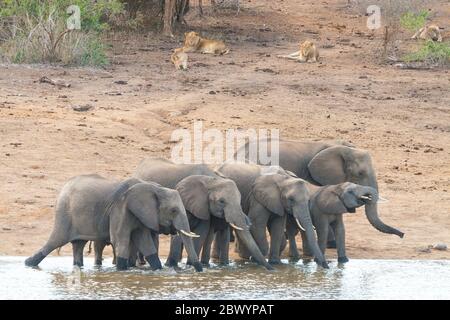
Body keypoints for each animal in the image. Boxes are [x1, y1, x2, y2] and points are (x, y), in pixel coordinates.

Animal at [23, 174, 201, 272]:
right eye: (173, 211)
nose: (199, 270)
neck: (154, 187)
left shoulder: (141, 215)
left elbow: (145, 243)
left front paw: (158, 269)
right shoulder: (121, 208)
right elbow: (120, 240)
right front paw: (121, 271)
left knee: (78, 245)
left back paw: (77, 267)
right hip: (64, 213)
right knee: (55, 241)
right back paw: (28, 264)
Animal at [134, 158, 272, 270]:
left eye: (240, 200)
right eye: (221, 201)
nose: (271, 269)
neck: (213, 180)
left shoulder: (204, 208)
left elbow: (202, 231)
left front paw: (190, 265)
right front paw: (183, 266)